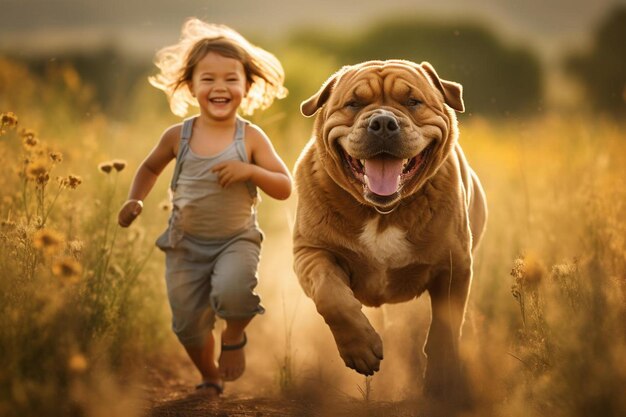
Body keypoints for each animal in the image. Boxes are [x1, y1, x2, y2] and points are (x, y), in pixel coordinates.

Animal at [292, 60, 488, 398]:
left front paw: (443, 378)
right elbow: (332, 295)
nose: (383, 122)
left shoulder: (453, 267)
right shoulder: (311, 251)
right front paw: (360, 348)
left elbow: (445, 326)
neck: (382, 214)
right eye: (353, 104)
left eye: (412, 101)